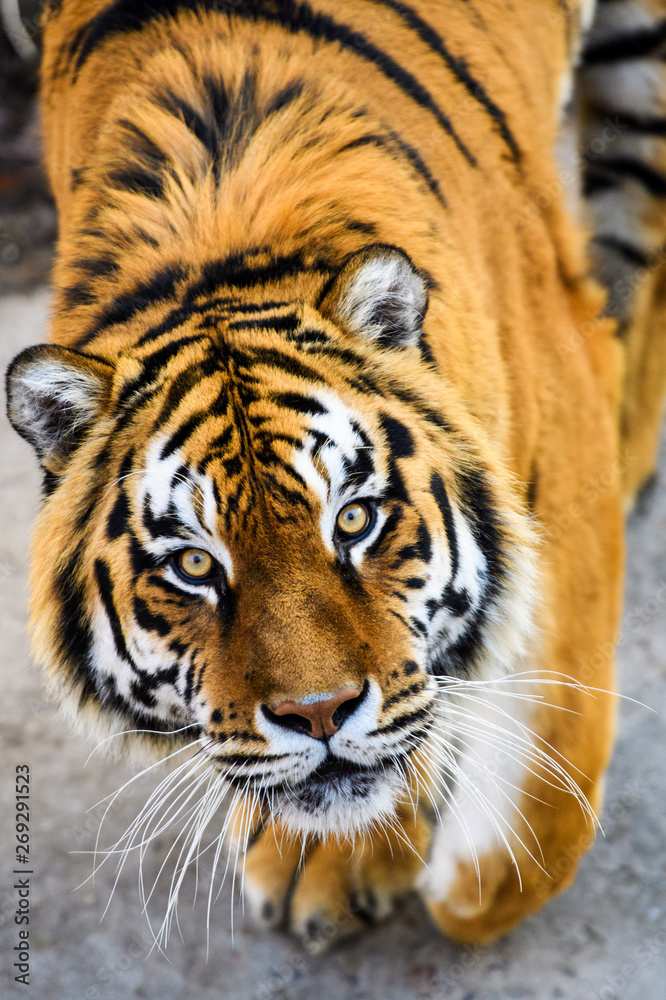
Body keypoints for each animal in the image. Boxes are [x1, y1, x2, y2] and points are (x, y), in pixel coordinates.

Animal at [5, 0, 666, 952]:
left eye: (353, 520)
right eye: (194, 565)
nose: (318, 715)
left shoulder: (563, 427)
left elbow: (534, 813)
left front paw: (457, 875)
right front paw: (326, 856)